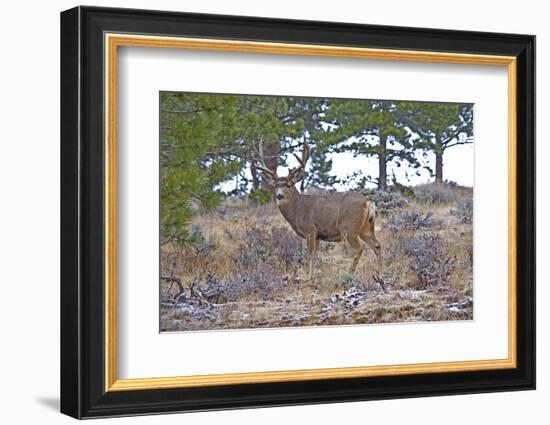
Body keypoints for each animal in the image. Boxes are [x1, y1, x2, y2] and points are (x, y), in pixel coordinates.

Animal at [256, 140, 382, 278]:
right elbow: (315, 255)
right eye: (275, 186)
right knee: (377, 245)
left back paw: (349, 274)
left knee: (359, 249)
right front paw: (312, 275)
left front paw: (305, 276)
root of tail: (368, 202)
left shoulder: (310, 229)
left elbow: (309, 254)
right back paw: (380, 272)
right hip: (366, 228)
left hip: (349, 228)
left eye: (288, 185)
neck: (296, 210)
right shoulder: (318, 235)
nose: (279, 195)